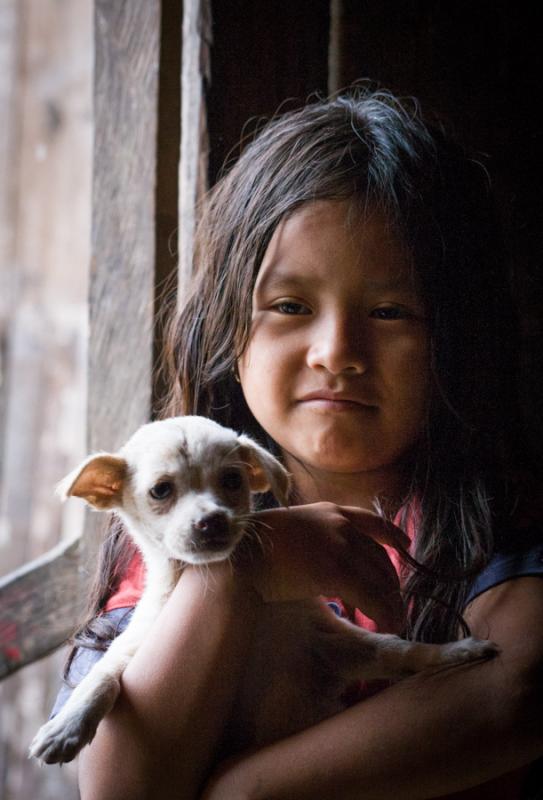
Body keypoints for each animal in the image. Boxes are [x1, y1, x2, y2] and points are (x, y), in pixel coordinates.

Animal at [28, 416, 498, 764]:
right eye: (161, 490)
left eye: (232, 481)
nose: (212, 521)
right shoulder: (136, 643)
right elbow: (103, 675)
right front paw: (68, 725)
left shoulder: (329, 645)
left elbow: (397, 650)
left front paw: (453, 653)